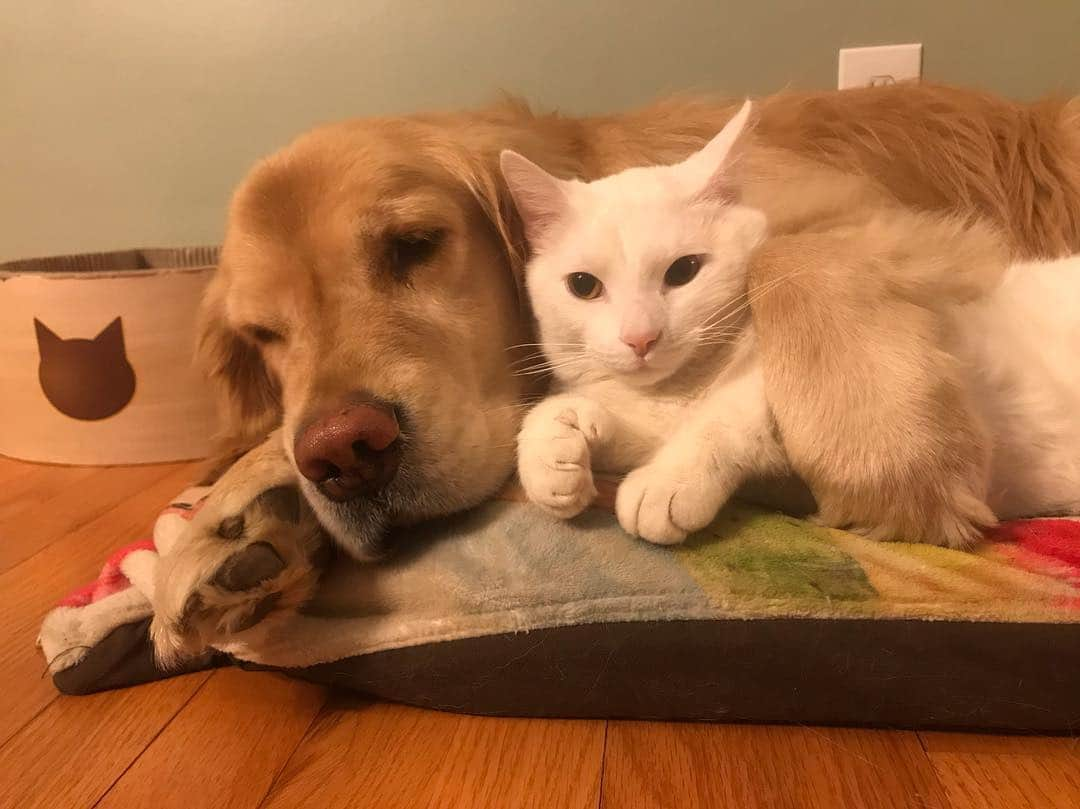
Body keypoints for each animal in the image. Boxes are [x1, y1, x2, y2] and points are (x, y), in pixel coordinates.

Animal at [501, 99, 1080, 542]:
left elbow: (726, 413)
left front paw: (666, 483)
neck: (681, 388)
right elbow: (558, 414)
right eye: (583, 286)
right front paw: (555, 455)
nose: (640, 338)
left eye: (683, 271)